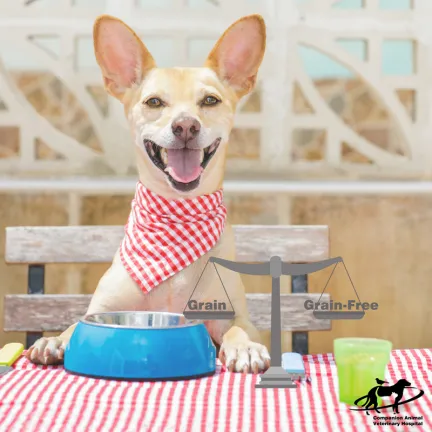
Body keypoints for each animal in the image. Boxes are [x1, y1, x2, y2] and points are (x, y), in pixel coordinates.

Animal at [25, 11, 270, 372]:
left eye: (210, 100)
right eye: (154, 102)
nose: (186, 125)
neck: (175, 218)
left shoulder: (232, 313)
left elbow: (239, 327)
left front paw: (245, 347)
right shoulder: (101, 308)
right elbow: (74, 324)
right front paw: (54, 339)